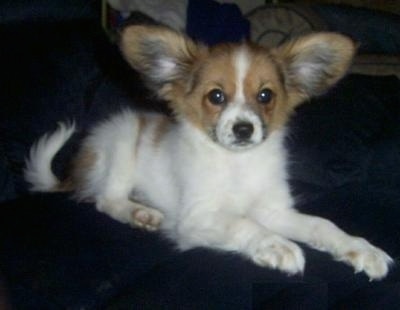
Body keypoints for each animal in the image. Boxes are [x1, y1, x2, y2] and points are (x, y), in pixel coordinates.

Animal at [25, 25, 394, 280]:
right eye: (216, 96)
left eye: (265, 96)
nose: (244, 129)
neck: (237, 165)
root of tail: (77, 169)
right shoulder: (197, 218)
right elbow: (243, 223)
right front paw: (276, 244)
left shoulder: (274, 211)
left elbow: (322, 224)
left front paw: (360, 248)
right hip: (122, 142)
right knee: (106, 200)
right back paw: (140, 213)